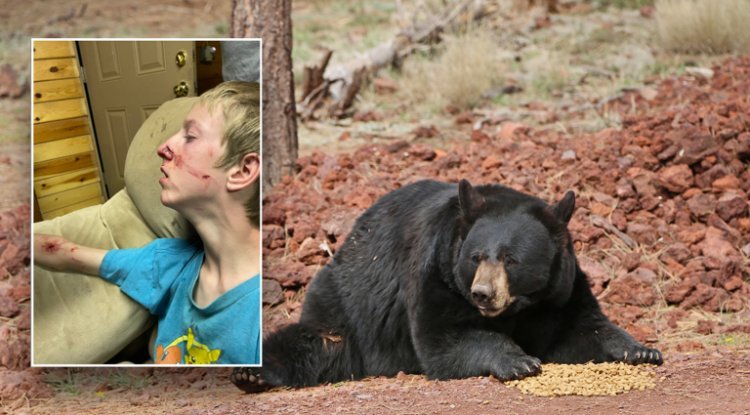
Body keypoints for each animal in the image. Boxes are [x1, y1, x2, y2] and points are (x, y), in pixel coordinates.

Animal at [232, 179, 662, 392]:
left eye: (511, 258)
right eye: (476, 256)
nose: (482, 294)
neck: (519, 308)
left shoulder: (560, 289)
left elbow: (583, 328)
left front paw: (643, 351)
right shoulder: (436, 275)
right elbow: (445, 339)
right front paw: (518, 360)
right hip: (345, 304)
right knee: (320, 343)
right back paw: (251, 374)